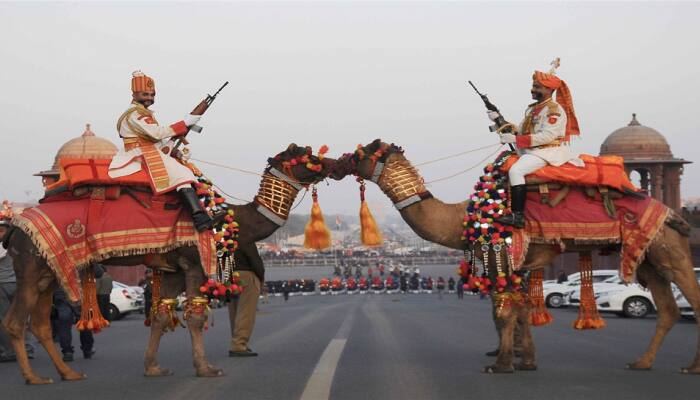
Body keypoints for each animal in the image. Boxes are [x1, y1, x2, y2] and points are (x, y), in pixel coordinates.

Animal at [1, 144, 336, 384]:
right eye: (308, 156)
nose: (337, 163)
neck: (228, 219)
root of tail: (15, 227)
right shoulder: (194, 263)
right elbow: (196, 317)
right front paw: (206, 368)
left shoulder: (171, 269)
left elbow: (161, 315)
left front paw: (153, 368)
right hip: (31, 264)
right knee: (16, 322)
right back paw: (34, 378)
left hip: (48, 270)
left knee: (41, 323)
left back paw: (67, 374)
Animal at [332, 138, 700, 376]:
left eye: (358, 153)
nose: (333, 165)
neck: (462, 216)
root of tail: (671, 213)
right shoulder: (521, 265)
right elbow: (521, 312)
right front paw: (526, 361)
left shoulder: (503, 256)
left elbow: (503, 314)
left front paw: (501, 365)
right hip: (649, 257)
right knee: (667, 308)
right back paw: (642, 362)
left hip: (667, 248)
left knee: (691, 299)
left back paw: (691, 367)